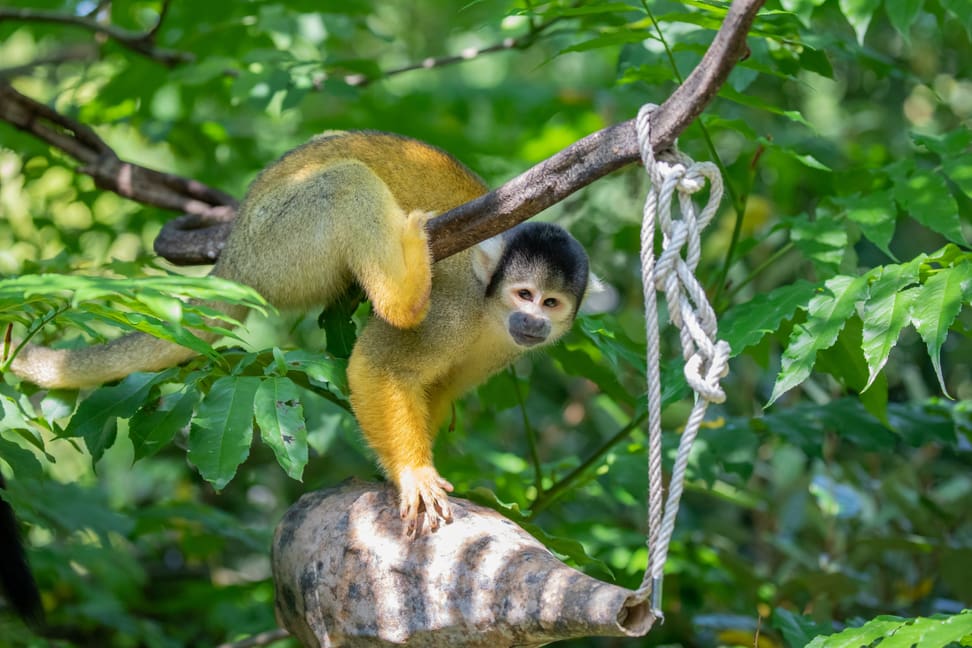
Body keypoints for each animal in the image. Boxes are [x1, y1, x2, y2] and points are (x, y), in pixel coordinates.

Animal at [9, 129, 592, 536]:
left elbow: (436, 388)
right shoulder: (454, 307)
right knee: (344, 183)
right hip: (284, 239)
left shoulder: (500, 350)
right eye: (523, 294)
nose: (534, 321)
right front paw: (414, 475)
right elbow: (378, 367)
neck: (489, 313)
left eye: (551, 303)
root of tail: (237, 249)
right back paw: (405, 284)